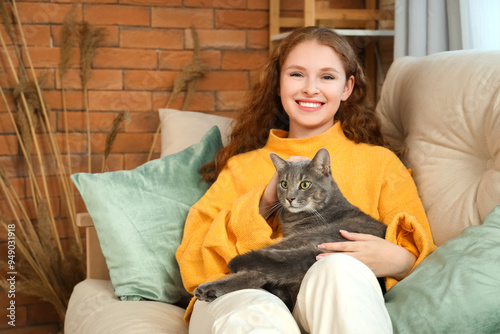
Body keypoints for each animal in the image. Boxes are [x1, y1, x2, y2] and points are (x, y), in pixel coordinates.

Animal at [194, 147, 386, 310]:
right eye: (284, 184)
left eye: (305, 184)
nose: (290, 198)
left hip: (298, 240)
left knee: (259, 271)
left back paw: (208, 288)